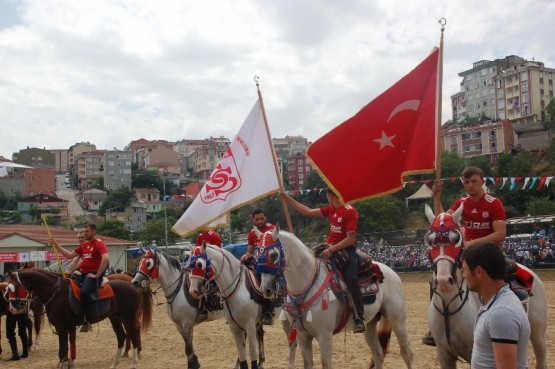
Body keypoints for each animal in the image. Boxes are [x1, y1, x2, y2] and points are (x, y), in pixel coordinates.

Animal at [8, 268, 152, 368]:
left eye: (11, 288)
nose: (13, 308)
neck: (56, 292)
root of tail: (133, 285)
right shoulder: (67, 327)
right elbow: (66, 349)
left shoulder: (62, 328)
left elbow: (63, 351)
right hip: (115, 317)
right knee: (122, 336)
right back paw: (115, 363)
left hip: (128, 316)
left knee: (133, 334)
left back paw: (134, 362)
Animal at [256, 227, 412, 368]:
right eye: (257, 255)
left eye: (273, 255)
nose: (266, 289)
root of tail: (390, 272)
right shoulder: (302, 336)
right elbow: (307, 363)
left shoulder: (325, 335)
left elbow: (326, 364)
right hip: (370, 323)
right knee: (378, 354)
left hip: (397, 320)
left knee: (406, 353)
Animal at [426, 204, 548, 368]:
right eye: (430, 240)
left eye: (456, 239)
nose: (444, 280)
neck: (448, 307)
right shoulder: (443, 353)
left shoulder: (474, 351)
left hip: (538, 335)